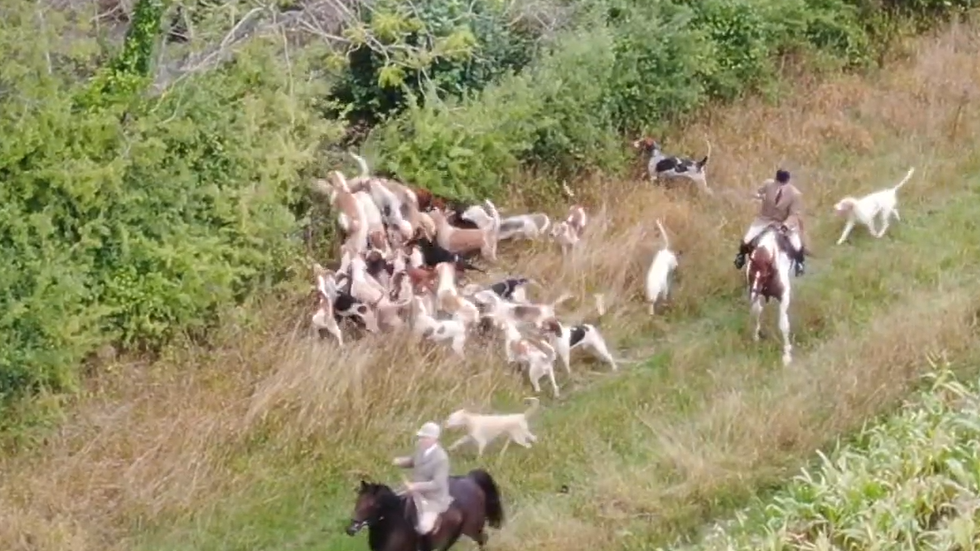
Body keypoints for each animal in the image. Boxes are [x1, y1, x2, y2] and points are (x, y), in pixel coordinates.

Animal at [346, 470, 506, 551]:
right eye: (358, 501)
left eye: (373, 505)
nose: (350, 529)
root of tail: (470, 480)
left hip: (472, 528)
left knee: (483, 539)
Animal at [748, 224, 792, 366]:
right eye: (751, 273)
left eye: (764, 275)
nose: (753, 295)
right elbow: (757, 311)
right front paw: (756, 337)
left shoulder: (784, 297)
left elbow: (784, 324)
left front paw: (787, 355)